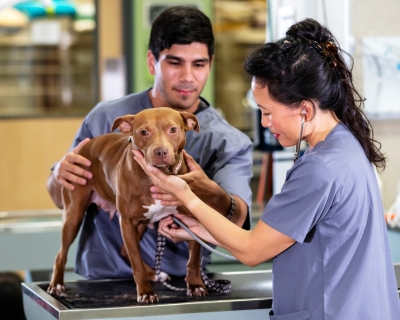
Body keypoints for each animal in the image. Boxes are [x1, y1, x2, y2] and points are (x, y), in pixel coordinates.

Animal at [47, 107, 206, 302]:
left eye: (173, 130)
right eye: (143, 132)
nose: (160, 152)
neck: (158, 176)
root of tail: (83, 147)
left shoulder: (192, 217)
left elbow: (194, 259)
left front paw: (196, 284)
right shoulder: (127, 223)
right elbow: (136, 261)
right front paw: (145, 292)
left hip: (141, 223)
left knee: (124, 250)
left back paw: (154, 274)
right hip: (74, 214)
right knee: (61, 254)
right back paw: (56, 285)